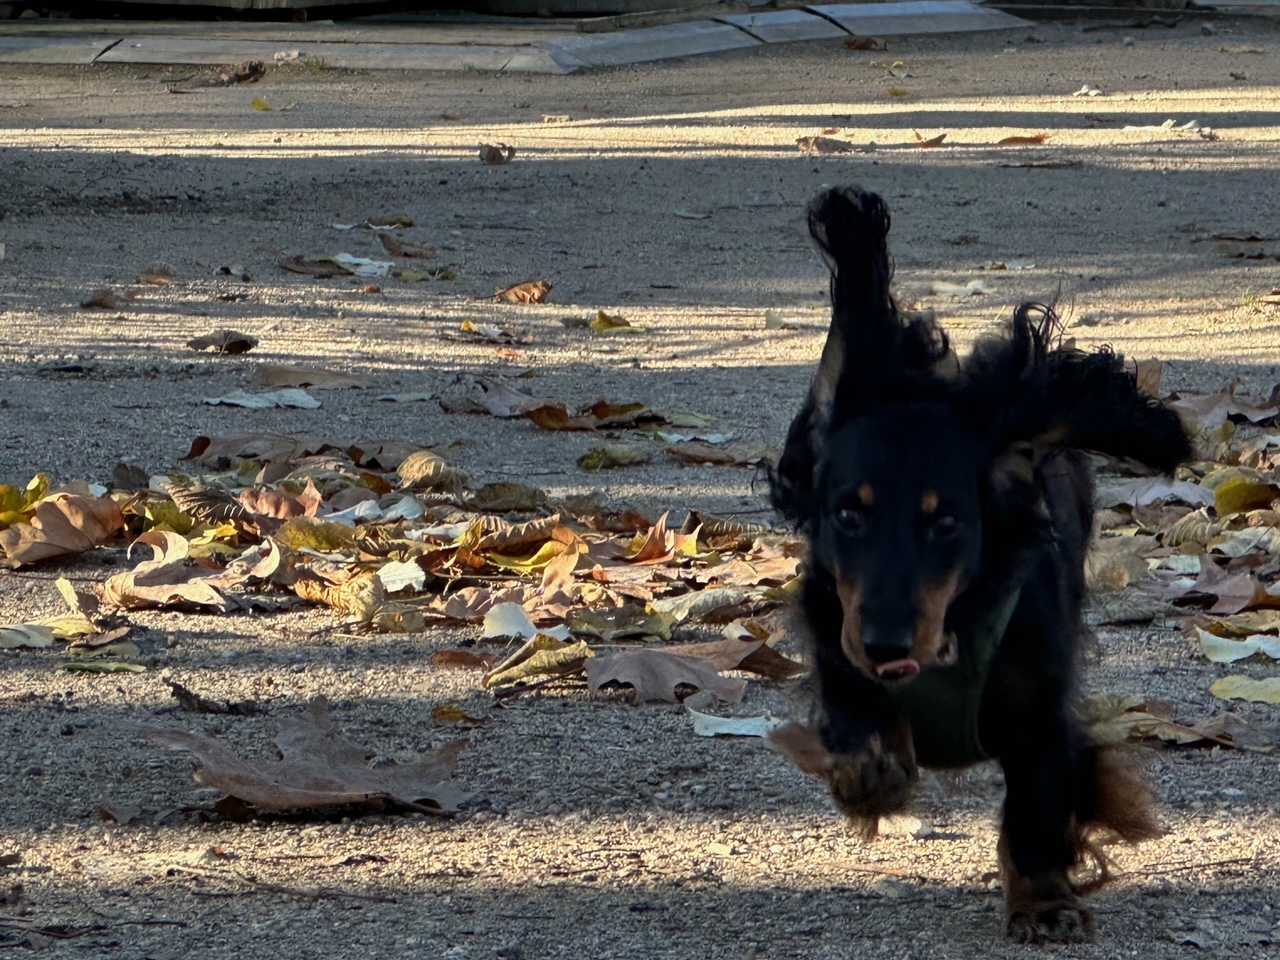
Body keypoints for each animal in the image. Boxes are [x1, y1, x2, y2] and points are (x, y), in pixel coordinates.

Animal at [762, 184, 1192, 942]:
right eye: (848, 514)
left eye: (947, 523)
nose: (885, 644)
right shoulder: (834, 631)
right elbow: (850, 711)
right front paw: (869, 773)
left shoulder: (1041, 707)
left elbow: (1039, 803)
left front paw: (1044, 902)